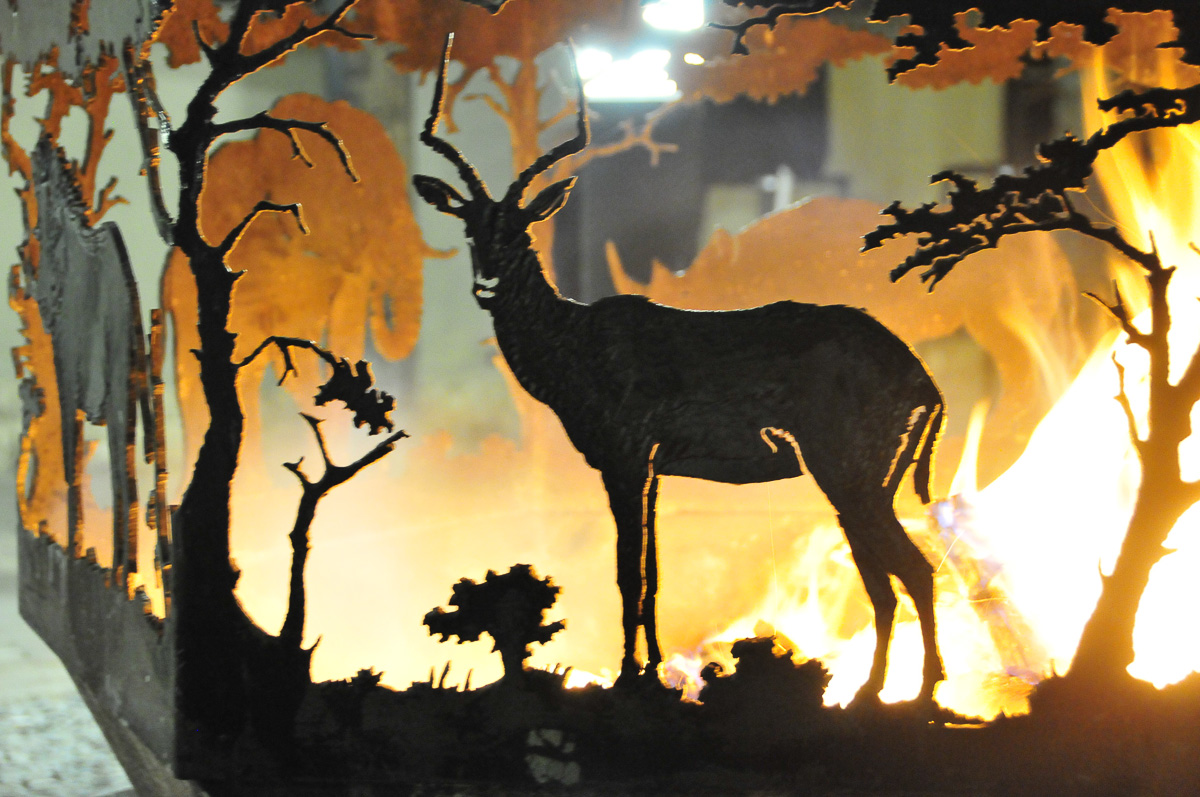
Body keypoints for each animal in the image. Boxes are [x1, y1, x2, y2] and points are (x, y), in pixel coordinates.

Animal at [414, 39, 946, 702]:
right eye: (469, 228)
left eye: (520, 230)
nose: (485, 284)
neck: (574, 342)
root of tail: (922, 378)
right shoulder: (655, 469)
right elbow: (654, 575)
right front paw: (654, 674)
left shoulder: (625, 458)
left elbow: (627, 574)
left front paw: (626, 677)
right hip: (865, 481)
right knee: (893, 578)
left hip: (846, 472)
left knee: (909, 572)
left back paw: (903, 693)